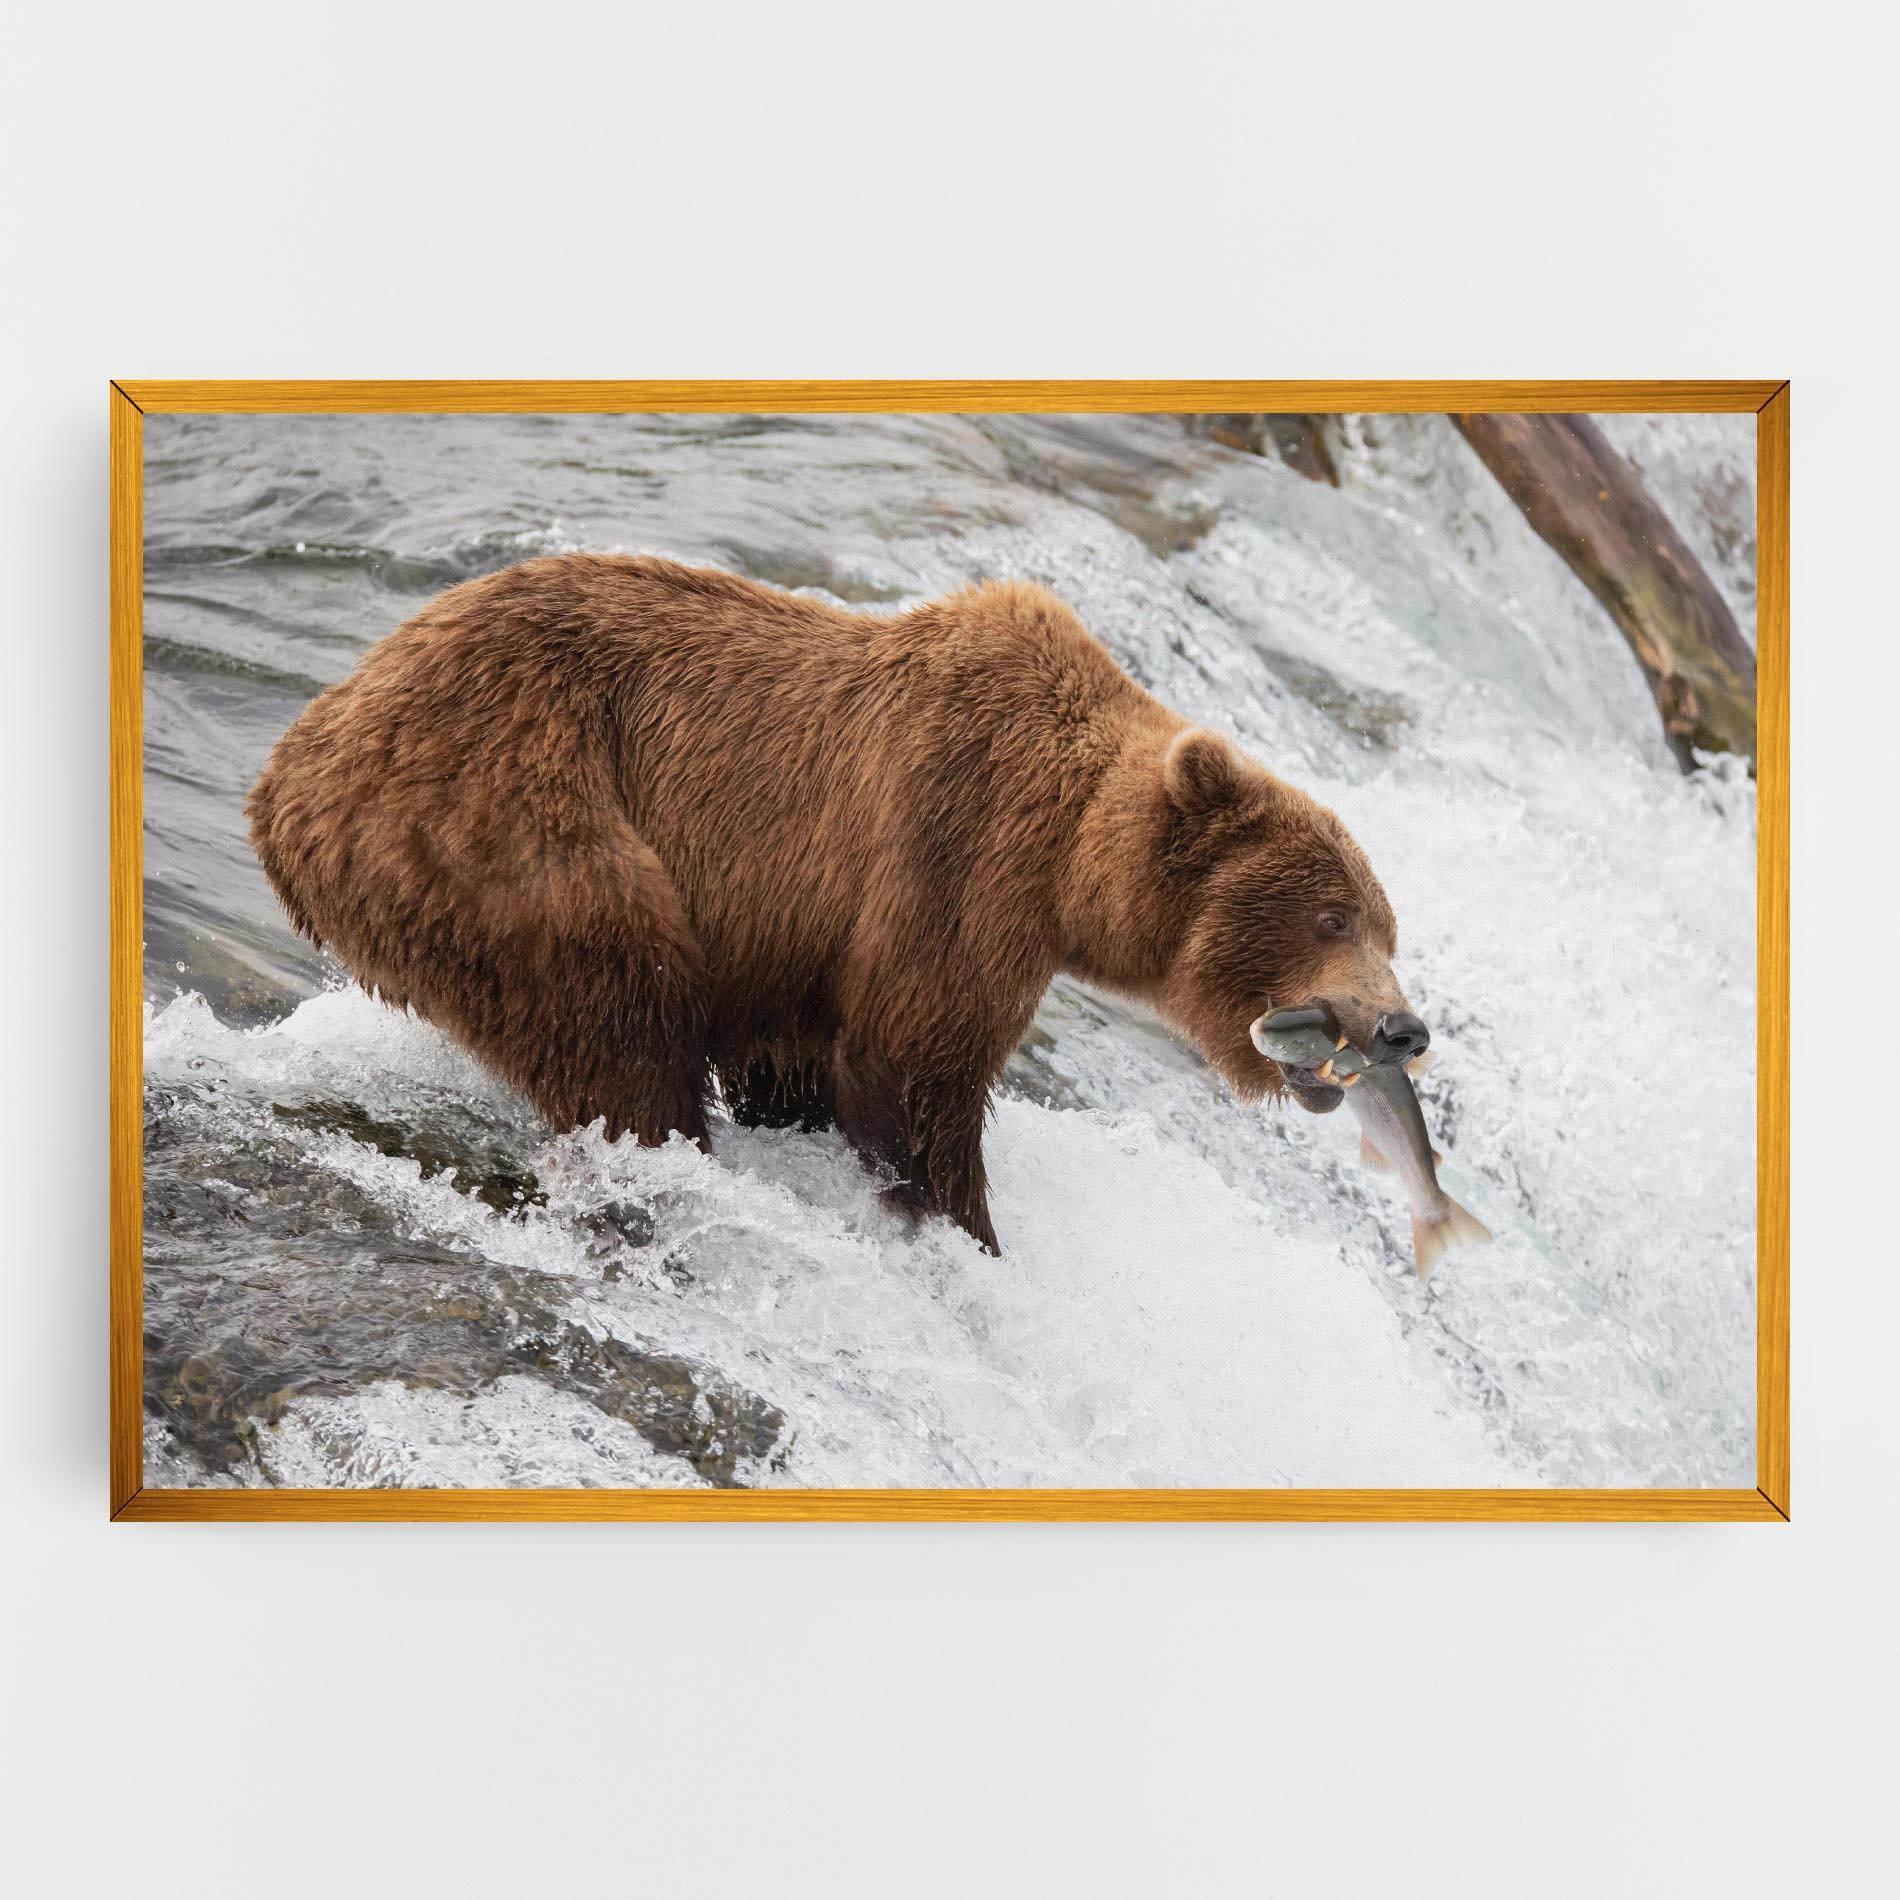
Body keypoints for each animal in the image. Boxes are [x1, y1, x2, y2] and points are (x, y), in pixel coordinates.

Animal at [248, 555, 1428, 1253]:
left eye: (1387, 925)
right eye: (1332, 916)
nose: (1401, 1028)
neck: (1069, 860)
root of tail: (290, 768)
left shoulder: (795, 942)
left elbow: (802, 1060)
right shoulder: (956, 850)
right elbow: (913, 1065)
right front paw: (964, 1227)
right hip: (509, 815)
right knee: (618, 1014)